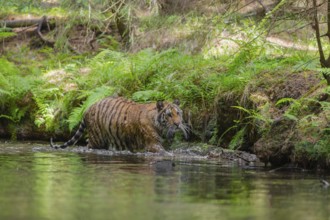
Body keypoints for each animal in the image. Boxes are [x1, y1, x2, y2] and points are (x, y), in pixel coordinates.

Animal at [49, 97, 188, 154]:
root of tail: (89, 107)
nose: (178, 124)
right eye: (169, 115)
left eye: (178, 113)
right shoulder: (153, 144)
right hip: (97, 139)